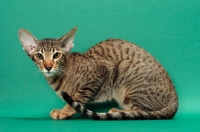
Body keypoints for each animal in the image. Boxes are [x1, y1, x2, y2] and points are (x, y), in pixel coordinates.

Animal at [18, 26, 178, 119]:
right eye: (39, 56)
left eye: (56, 55)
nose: (48, 66)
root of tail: (175, 98)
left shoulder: (100, 72)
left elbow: (77, 97)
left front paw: (65, 111)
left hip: (124, 68)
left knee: (144, 112)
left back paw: (116, 112)